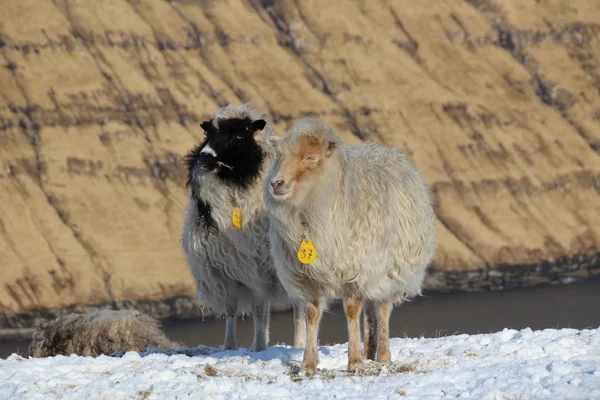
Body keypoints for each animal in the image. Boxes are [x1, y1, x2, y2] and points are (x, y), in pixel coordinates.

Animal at [182, 104, 304, 352]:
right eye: (209, 133)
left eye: (238, 135)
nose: (205, 156)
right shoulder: (226, 268)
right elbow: (232, 309)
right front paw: (230, 346)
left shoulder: (260, 266)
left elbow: (258, 309)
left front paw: (259, 347)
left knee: (299, 306)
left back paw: (299, 343)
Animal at [262, 117, 436, 374]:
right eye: (280, 155)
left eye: (311, 158)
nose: (276, 183)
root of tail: (385, 150)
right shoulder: (309, 277)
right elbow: (312, 313)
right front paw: (308, 365)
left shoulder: (355, 269)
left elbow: (352, 309)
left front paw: (354, 363)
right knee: (370, 309)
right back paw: (369, 351)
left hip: (389, 268)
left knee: (382, 308)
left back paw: (382, 355)